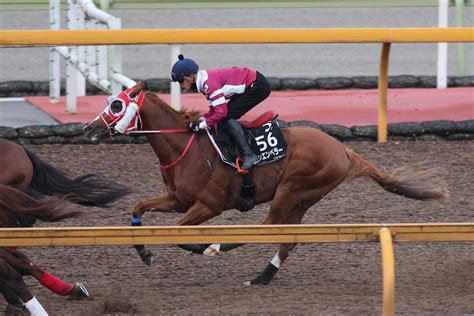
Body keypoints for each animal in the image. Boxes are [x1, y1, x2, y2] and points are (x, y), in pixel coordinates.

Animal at [82, 82, 448, 286]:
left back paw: (221, 247)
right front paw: (144, 252)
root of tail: (342, 148)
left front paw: (202, 246)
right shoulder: (178, 200)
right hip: (303, 198)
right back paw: (262, 277)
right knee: (288, 238)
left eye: (116, 104)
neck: (184, 145)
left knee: (269, 225)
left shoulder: (209, 205)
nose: (88, 128)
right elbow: (138, 207)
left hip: (293, 188)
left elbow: (177, 233)